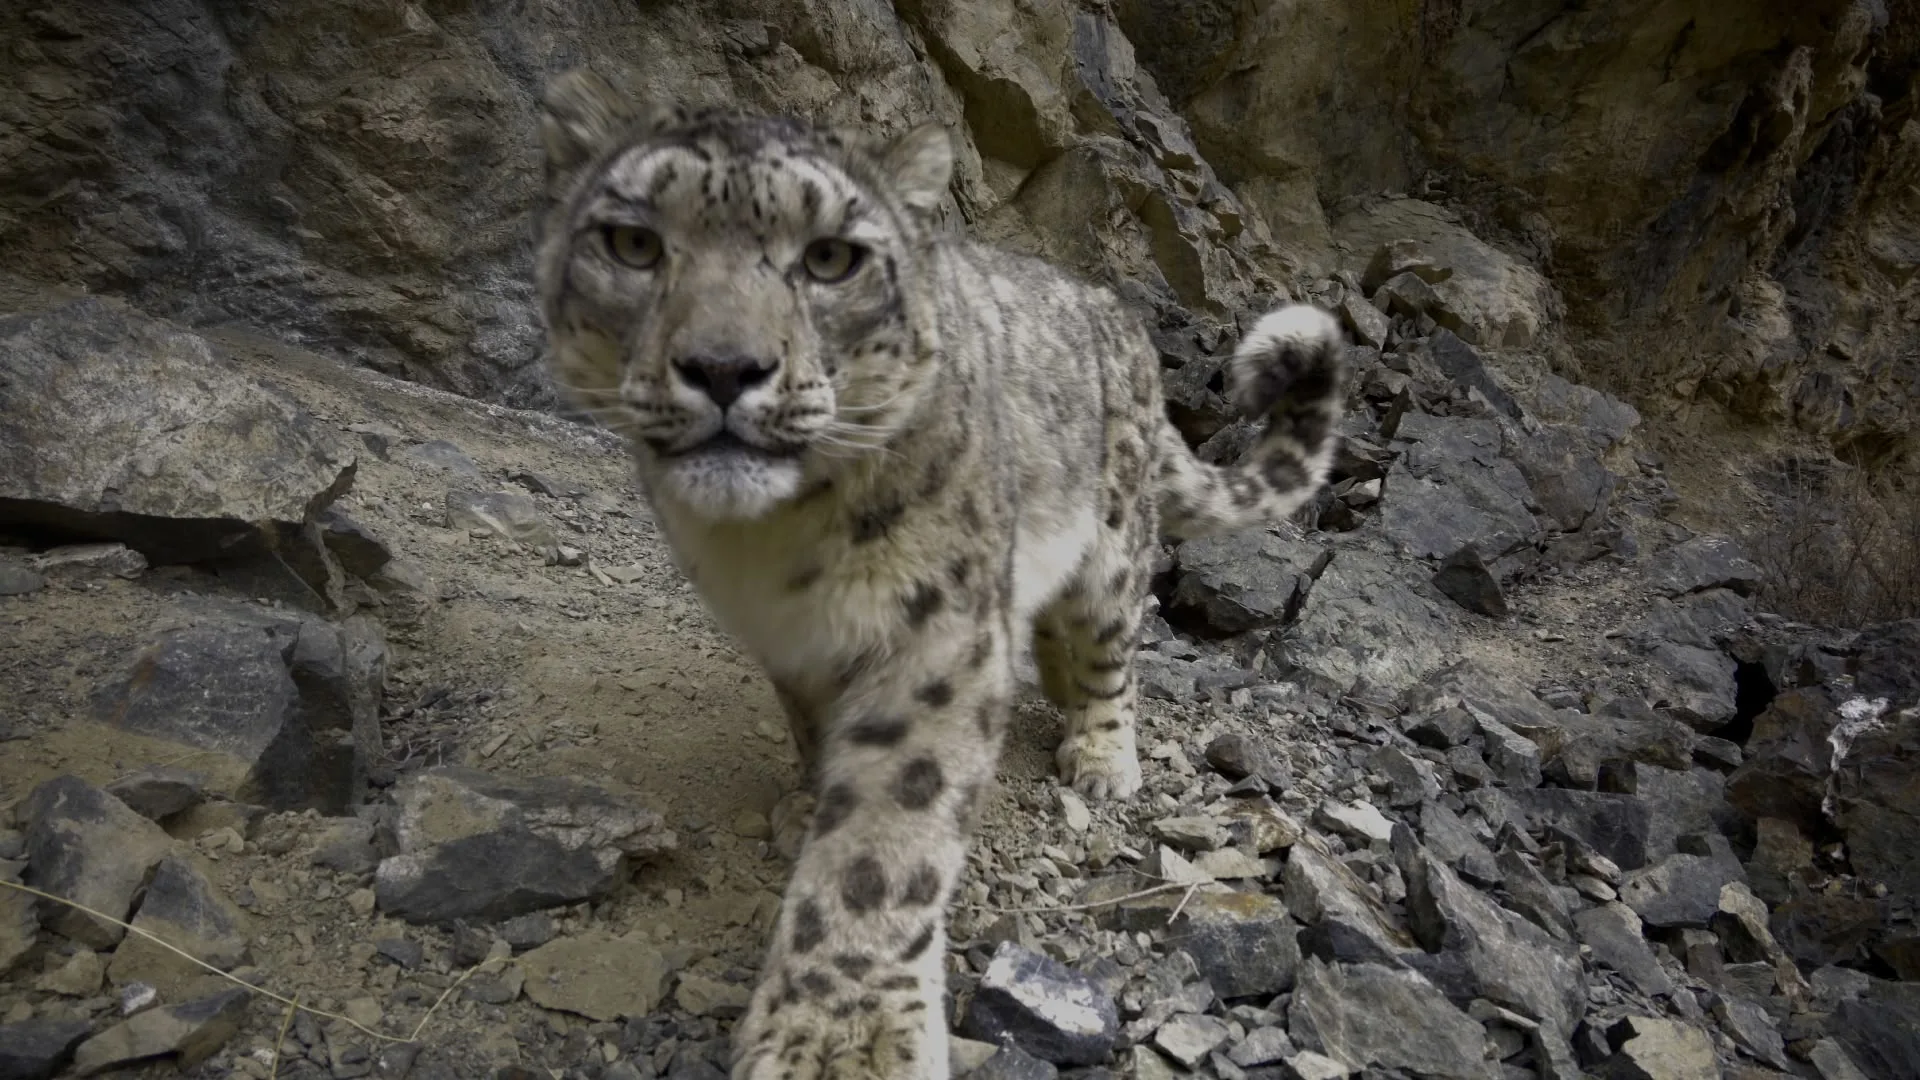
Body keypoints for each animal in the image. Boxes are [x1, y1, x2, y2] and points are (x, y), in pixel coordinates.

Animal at [533, 68, 1348, 1080]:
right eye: (633, 244)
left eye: (832, 258)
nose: (724, 367)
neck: (771, 550)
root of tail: (1125, 326)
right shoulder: (789, 643)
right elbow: (815, 733)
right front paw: (810, 801)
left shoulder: (936, 629)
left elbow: (885, 841)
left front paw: (837, 1034)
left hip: (1113, 543)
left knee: (1114, 643)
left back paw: (1100, 754)